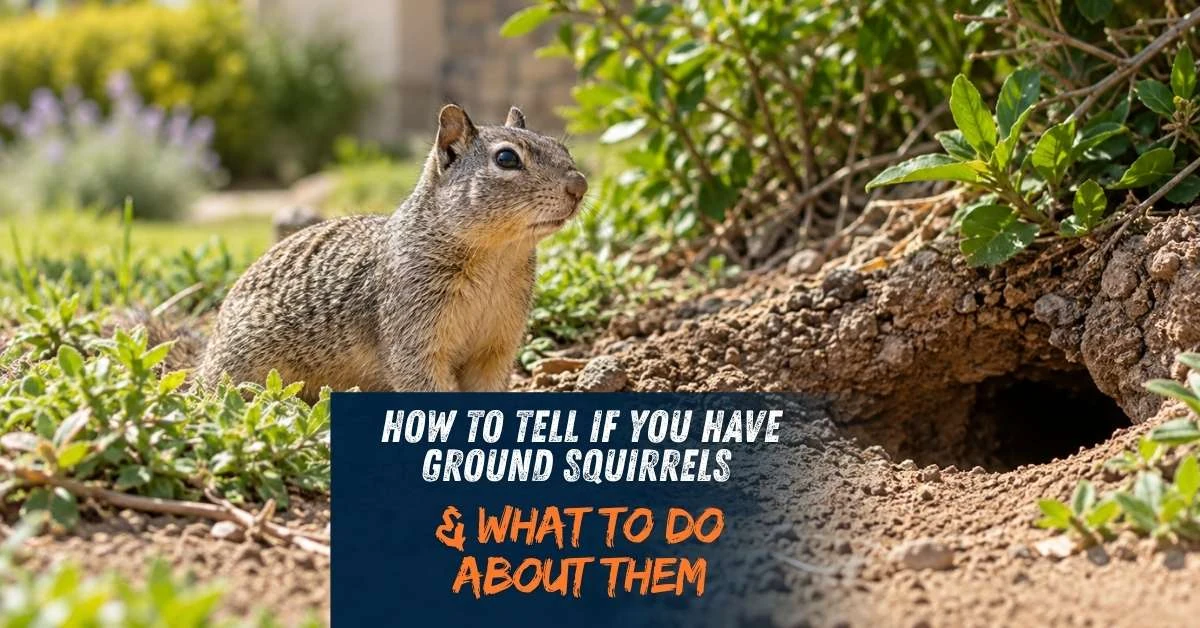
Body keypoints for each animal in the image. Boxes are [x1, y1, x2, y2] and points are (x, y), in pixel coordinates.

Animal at [197, 105, 587, 399]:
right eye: (506, 158)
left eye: (563, 148)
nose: (579, 185)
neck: (498, 257)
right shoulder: (412, 333)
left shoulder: (496, 347)